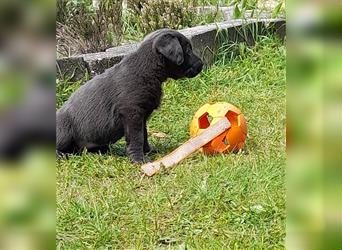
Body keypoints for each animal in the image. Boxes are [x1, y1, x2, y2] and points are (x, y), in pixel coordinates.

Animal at [56, 28, 203, 163]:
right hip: (64, 132)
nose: (201, 64)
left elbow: (144, 135)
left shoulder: (141, 116)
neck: (147, 71)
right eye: (188, 50)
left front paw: (148, 151)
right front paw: (139, 159)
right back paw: (64, 155)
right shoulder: (132, 114)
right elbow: (137, 138)